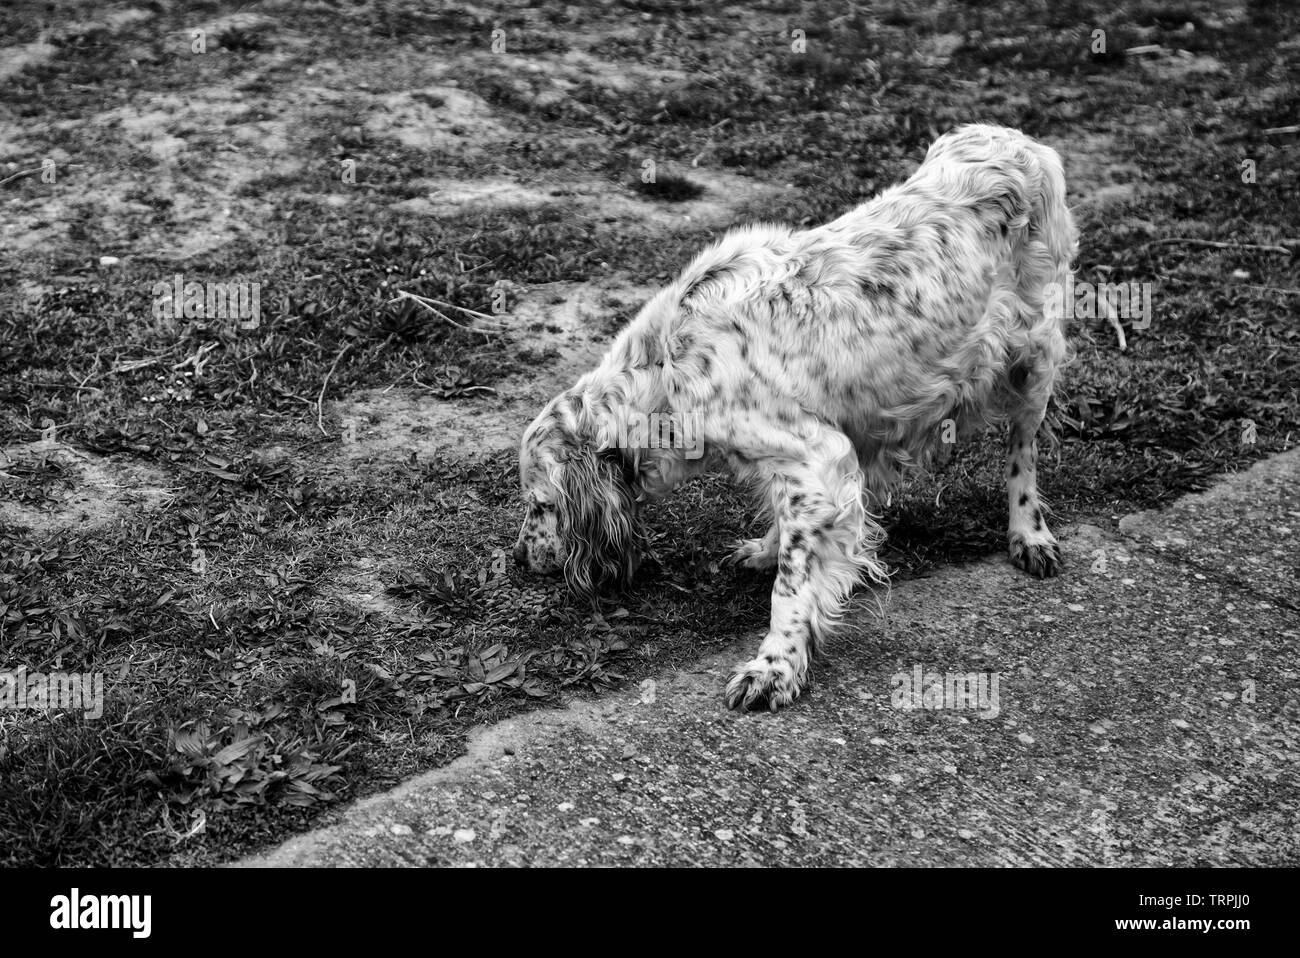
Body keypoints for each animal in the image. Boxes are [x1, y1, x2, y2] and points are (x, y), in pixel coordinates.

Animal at [514, 123, 1076, 712]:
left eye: (540, 505)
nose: (518, 558)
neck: (666, 366)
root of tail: (1018, 141)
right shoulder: (807, 457)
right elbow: (793, 531)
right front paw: (766, 551)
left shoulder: (815, 454)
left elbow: (791, 585)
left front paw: (774, 667)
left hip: (1034, 358)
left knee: (1022, 454)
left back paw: (1029, 535)